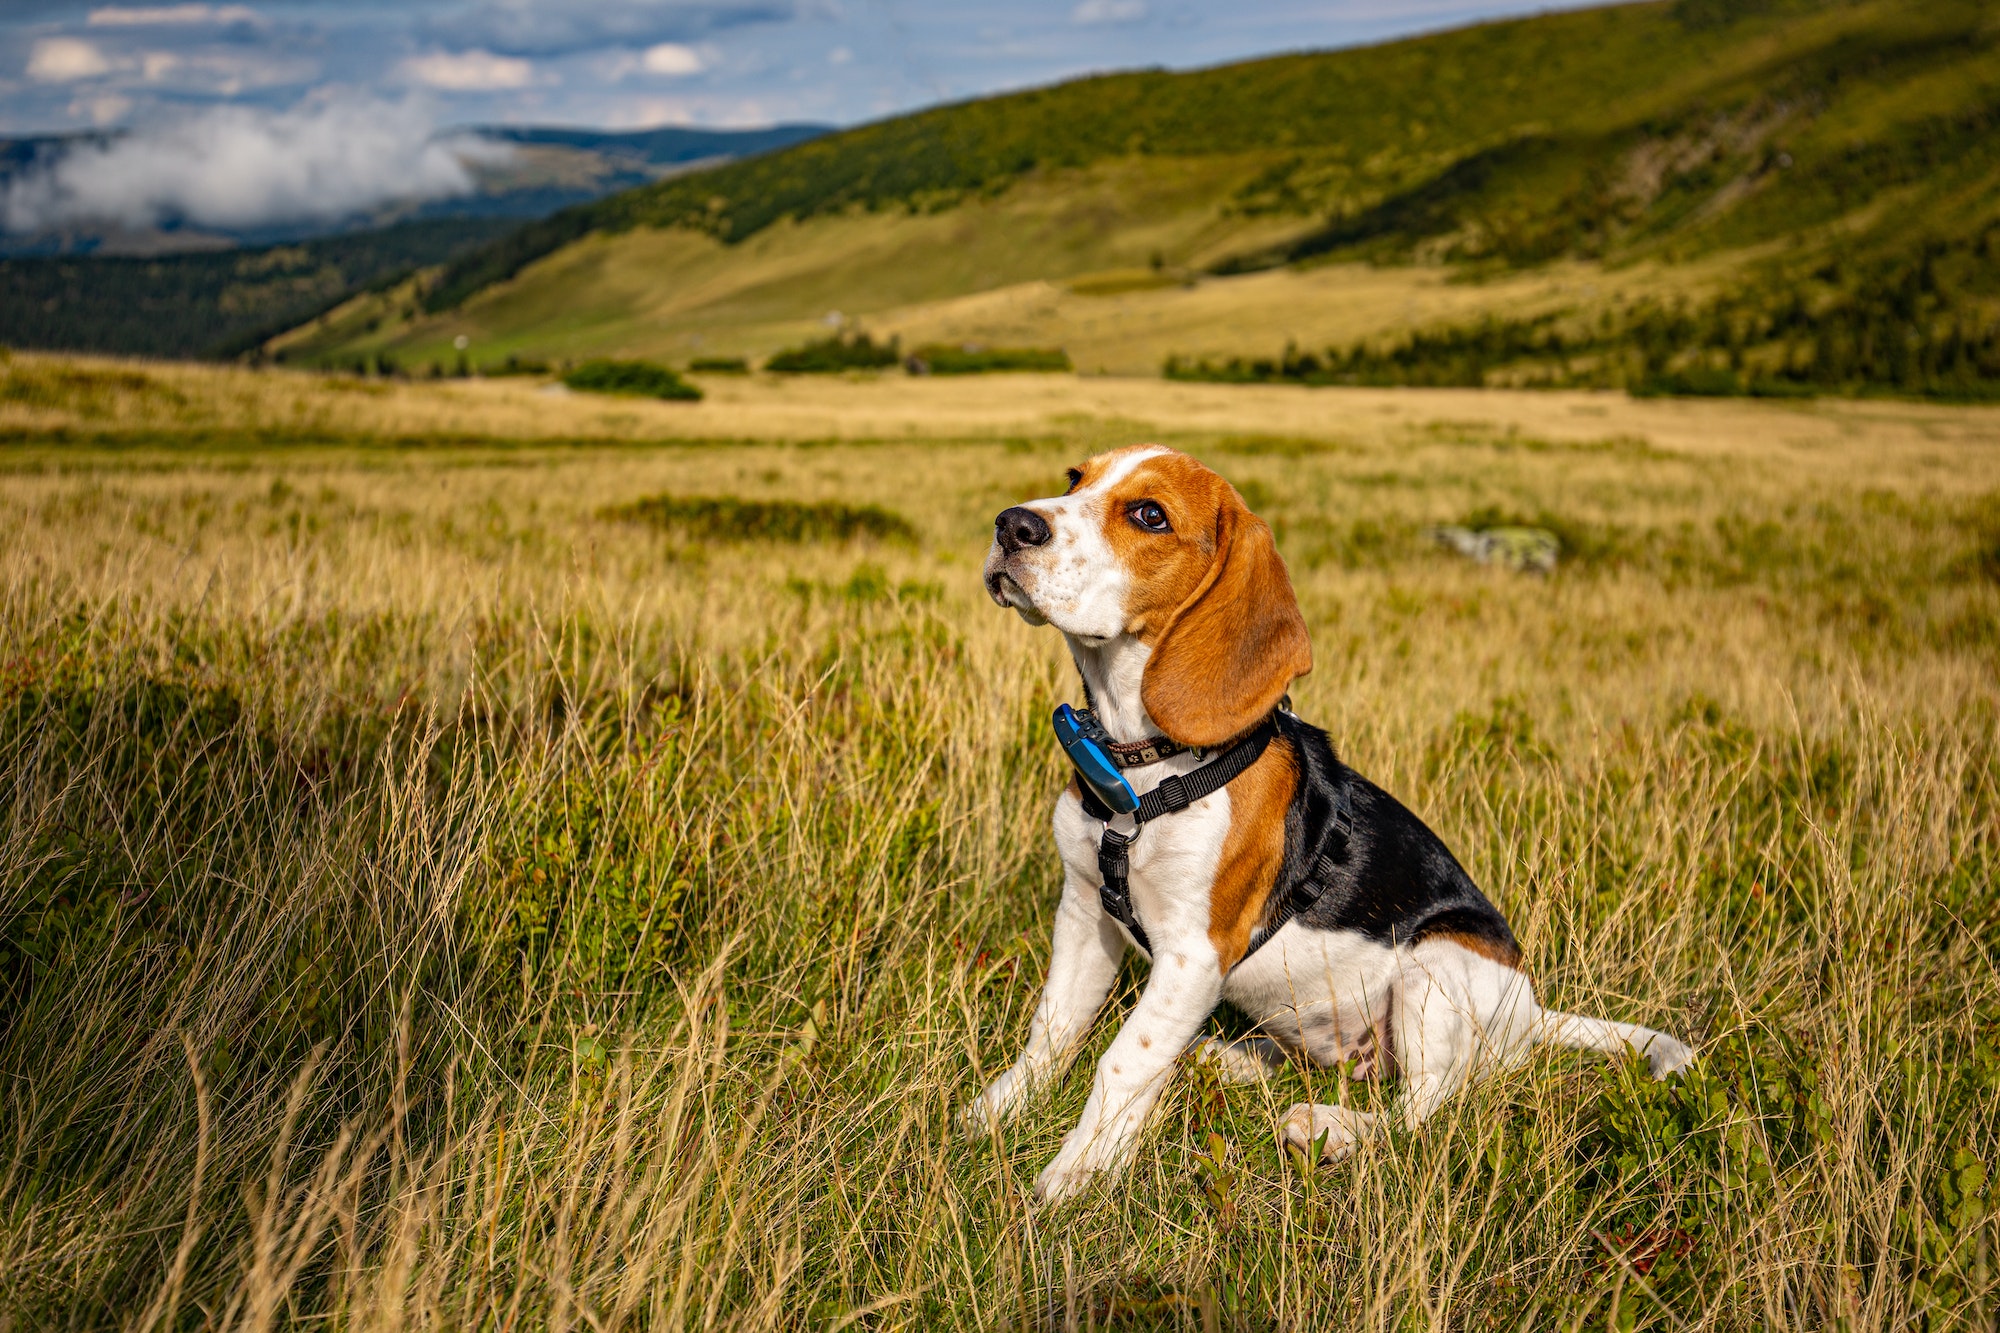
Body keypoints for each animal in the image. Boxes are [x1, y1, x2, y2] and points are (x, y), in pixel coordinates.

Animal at [968, 440, 1688, 1200]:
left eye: (1148, 515)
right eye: (1075, 478)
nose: (1012, 525)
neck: (1144, 768)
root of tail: (1533, 1014)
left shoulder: (1194, 954)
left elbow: (1123, 1059)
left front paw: (1075, 1173)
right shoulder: (1085, 910)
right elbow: (1052, 1026)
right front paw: (1001, 1108)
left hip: (1434, 966)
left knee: (1427, 1106)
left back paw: (1333, 1128)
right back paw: (1225, 1058)